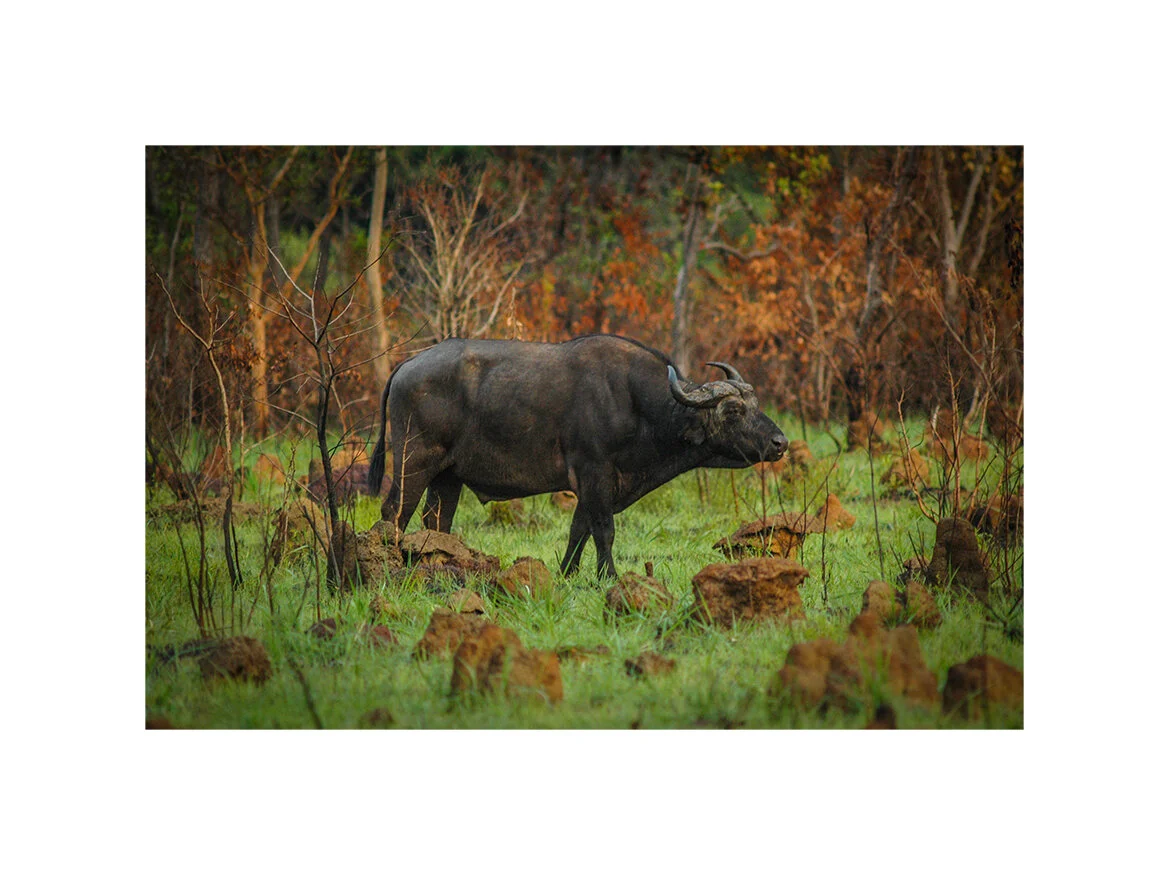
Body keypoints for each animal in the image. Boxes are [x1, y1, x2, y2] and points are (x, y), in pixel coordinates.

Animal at [368, 334, 787, 577]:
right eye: (733, 411)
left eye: (755, 405)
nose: (780, 442)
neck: (637, 404)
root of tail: (407, 364)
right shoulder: (594, 472)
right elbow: (603, 530)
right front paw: (608, 577)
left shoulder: (595, 485)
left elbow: (578, 529)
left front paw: (568, 573)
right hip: (413, 464)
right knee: (394, 515)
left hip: (448, 477)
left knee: (436, 522)